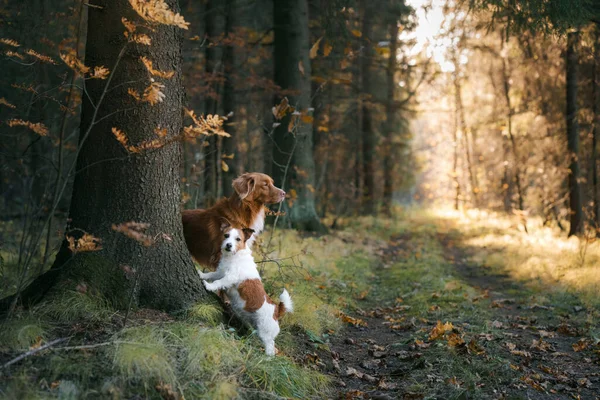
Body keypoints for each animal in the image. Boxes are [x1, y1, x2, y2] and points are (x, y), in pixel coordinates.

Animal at [199, 225, 292, 356]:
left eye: (238, 239)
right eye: (226, 235)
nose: (228, 245)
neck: (235, 256)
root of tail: (277, 310)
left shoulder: (230, 277)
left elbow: (218, 282)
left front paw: (208, 286)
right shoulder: (220, 272)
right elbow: (211, 274)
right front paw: (201, 274)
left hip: (265, 332)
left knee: (271, 348)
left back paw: (265, 358)